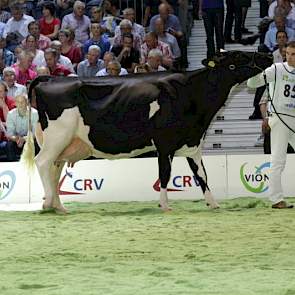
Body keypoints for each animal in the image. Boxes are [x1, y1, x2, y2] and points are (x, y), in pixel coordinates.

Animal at [22, 50, 272, 213]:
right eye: (238, 56)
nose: (268, 55)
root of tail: (50, 78)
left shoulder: (192, 143)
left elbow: (202, 174)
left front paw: (213, 203)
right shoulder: (165, 143)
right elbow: (164, 174)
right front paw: (165, 205)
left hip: (65, 142)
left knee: (55, 167)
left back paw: (58, 206)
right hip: (57, 135)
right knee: (43, 162)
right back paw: (47, 204)